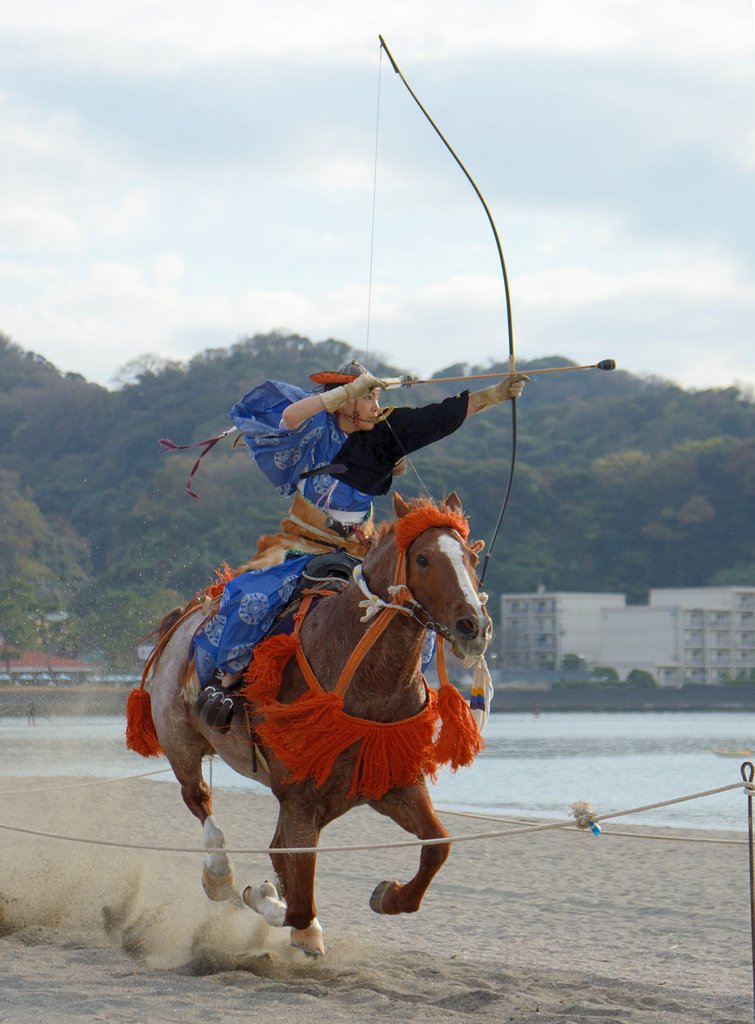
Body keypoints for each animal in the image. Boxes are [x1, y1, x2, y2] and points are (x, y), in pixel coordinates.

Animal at [127, 491, 492, 957]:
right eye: (424, 559)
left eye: (471, 558)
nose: (474, 625)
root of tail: (186, 617)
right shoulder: (300, 796)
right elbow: (297, 899)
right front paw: (264, 898)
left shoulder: (392, 783)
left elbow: (437, 846)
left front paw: (389, 896)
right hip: (179, 738)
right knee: (200, 800)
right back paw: (220, 874)